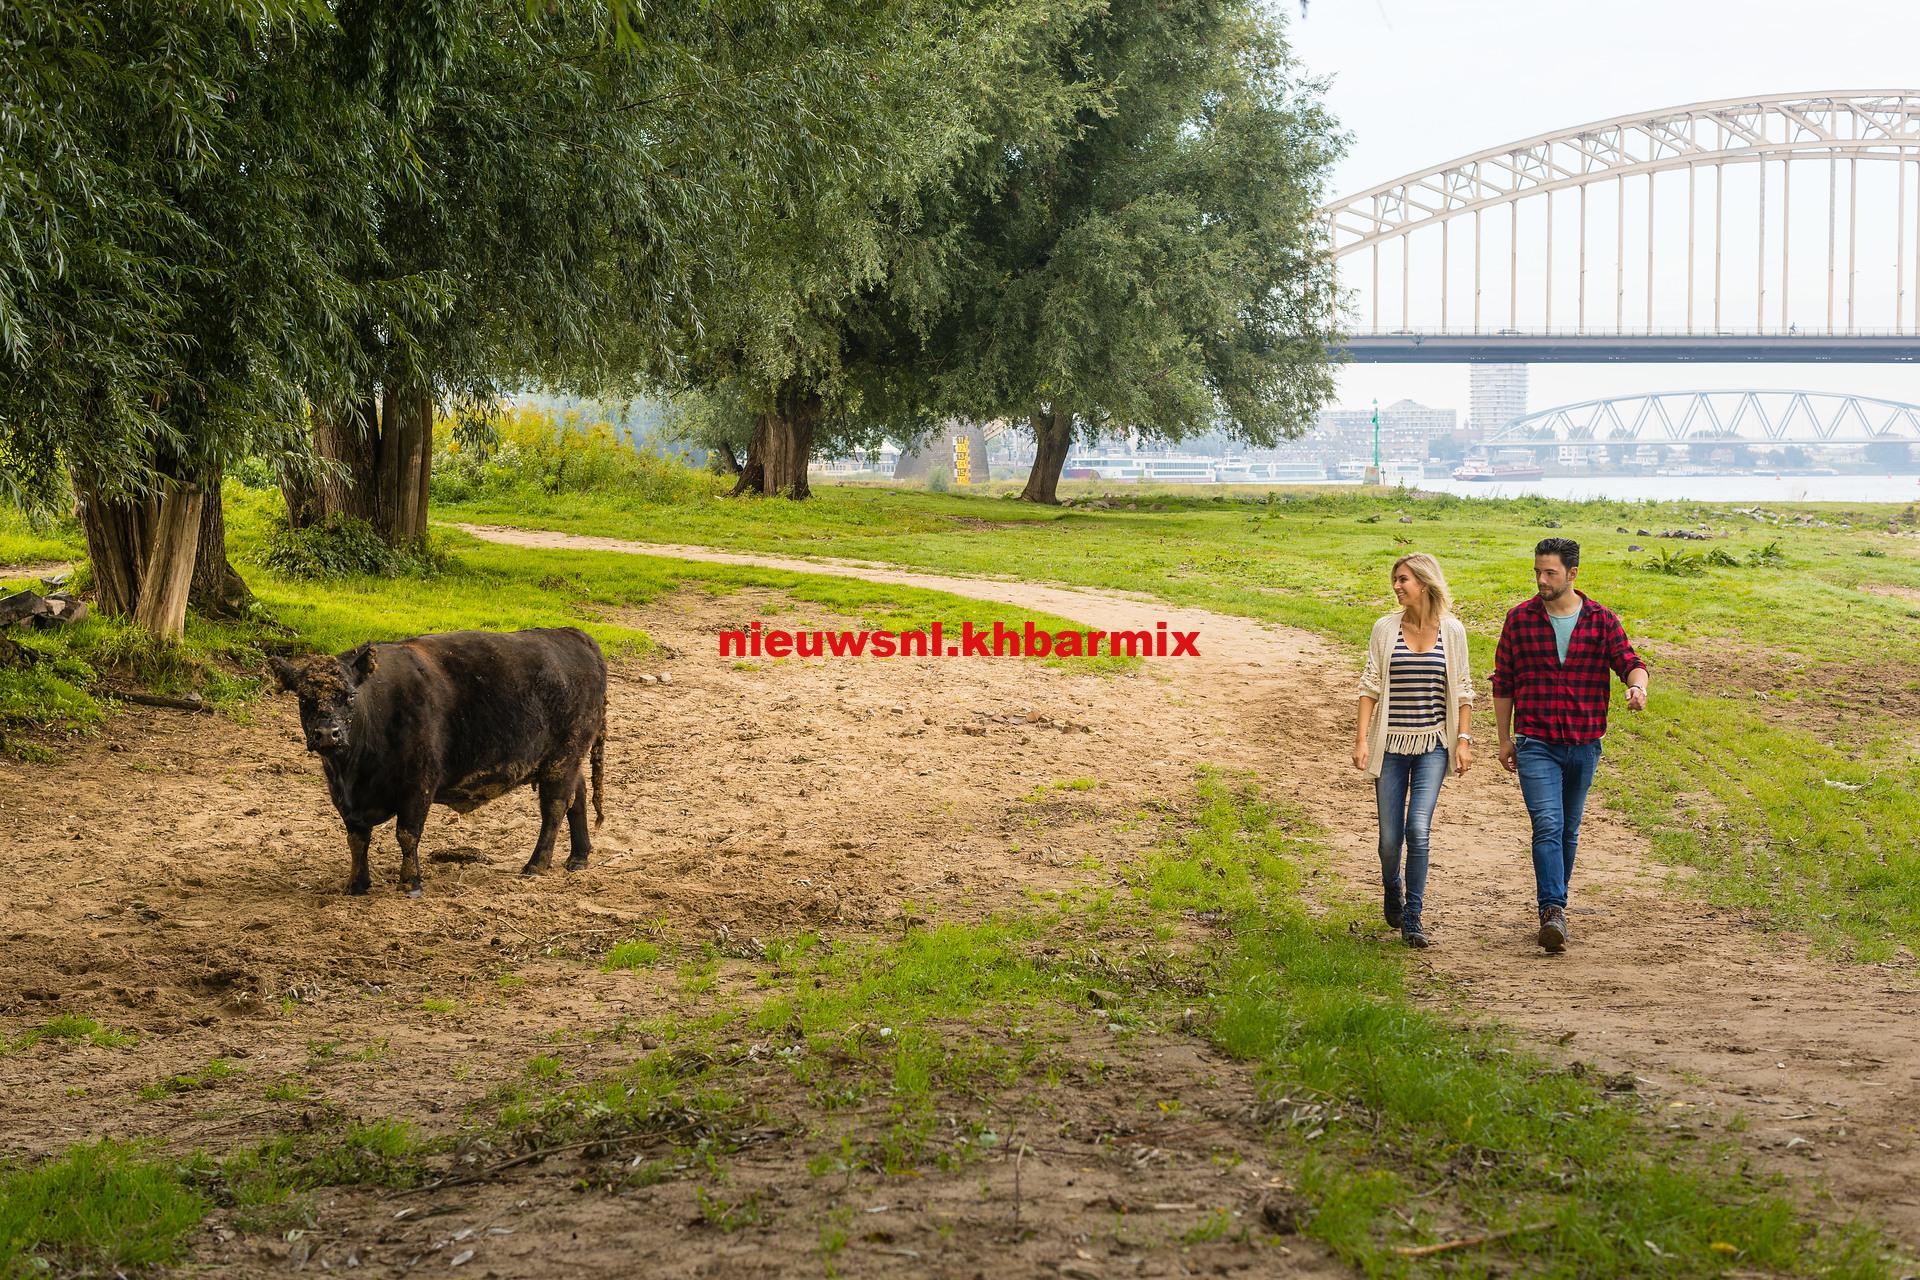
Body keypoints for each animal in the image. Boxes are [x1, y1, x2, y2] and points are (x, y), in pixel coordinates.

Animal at [270, 625, 606, 898]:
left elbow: (407, 834)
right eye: (303, 698)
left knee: (555, 808)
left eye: (350, 695)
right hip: (566, 762)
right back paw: (578, 857)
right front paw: (357, 884)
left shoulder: (419, 785)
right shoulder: (344, 798)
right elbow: (357, 839)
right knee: (578, 796)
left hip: (561, 760)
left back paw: (536, 865)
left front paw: (411, 883)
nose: (328, 734)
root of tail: (573, 635)